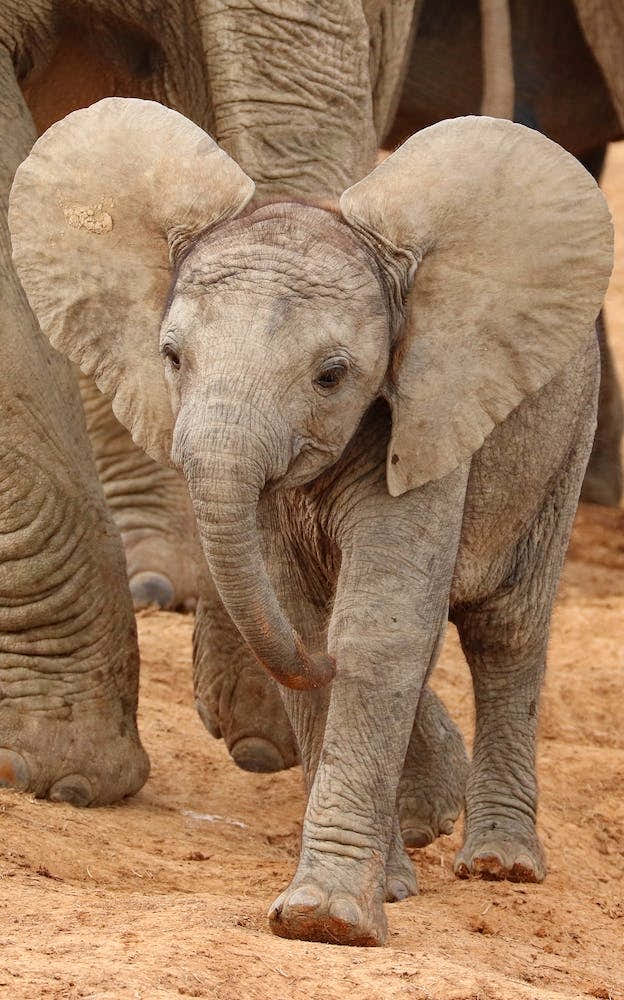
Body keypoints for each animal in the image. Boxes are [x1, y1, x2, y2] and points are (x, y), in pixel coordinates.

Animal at [8, 97, 612, 945]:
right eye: (171, 358)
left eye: (332, 376)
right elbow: (299, 616)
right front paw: (381, 888)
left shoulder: (424, 418)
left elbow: (378, 630)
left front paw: (326, 920)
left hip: (562, 438)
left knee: (508, 633)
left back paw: (501, 865)